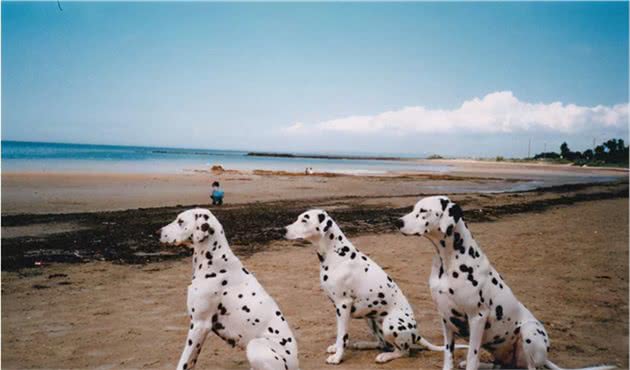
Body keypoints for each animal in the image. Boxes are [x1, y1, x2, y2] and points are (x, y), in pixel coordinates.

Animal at [159, 208, 300, 370]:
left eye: (180, 221)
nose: (157, 232)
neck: (214, 261)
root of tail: (295, 364)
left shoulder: (199, 324)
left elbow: (183, 362)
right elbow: (191, 361)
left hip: (254, 345)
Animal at [284, 210, 466, 366]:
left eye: (305, 220)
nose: (283, 230)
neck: (336, 254)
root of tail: (417, 334)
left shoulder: (343, 305)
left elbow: (342, 335)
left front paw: (337, 357)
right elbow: (340, 335)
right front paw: (336, 348)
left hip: (390, 324)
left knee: (403, 351)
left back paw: (385, 356)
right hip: (370, 319)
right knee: (382, 343)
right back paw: (364, 344)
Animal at [398, 195, 616, 370]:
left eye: (423, 211)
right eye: (414, 208)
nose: (398, 221)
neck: (449, 261)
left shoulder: (477, 318)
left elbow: (472, 357)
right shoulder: (446, 319)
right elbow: (448, 356)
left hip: (530, 332)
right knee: (498, 366)